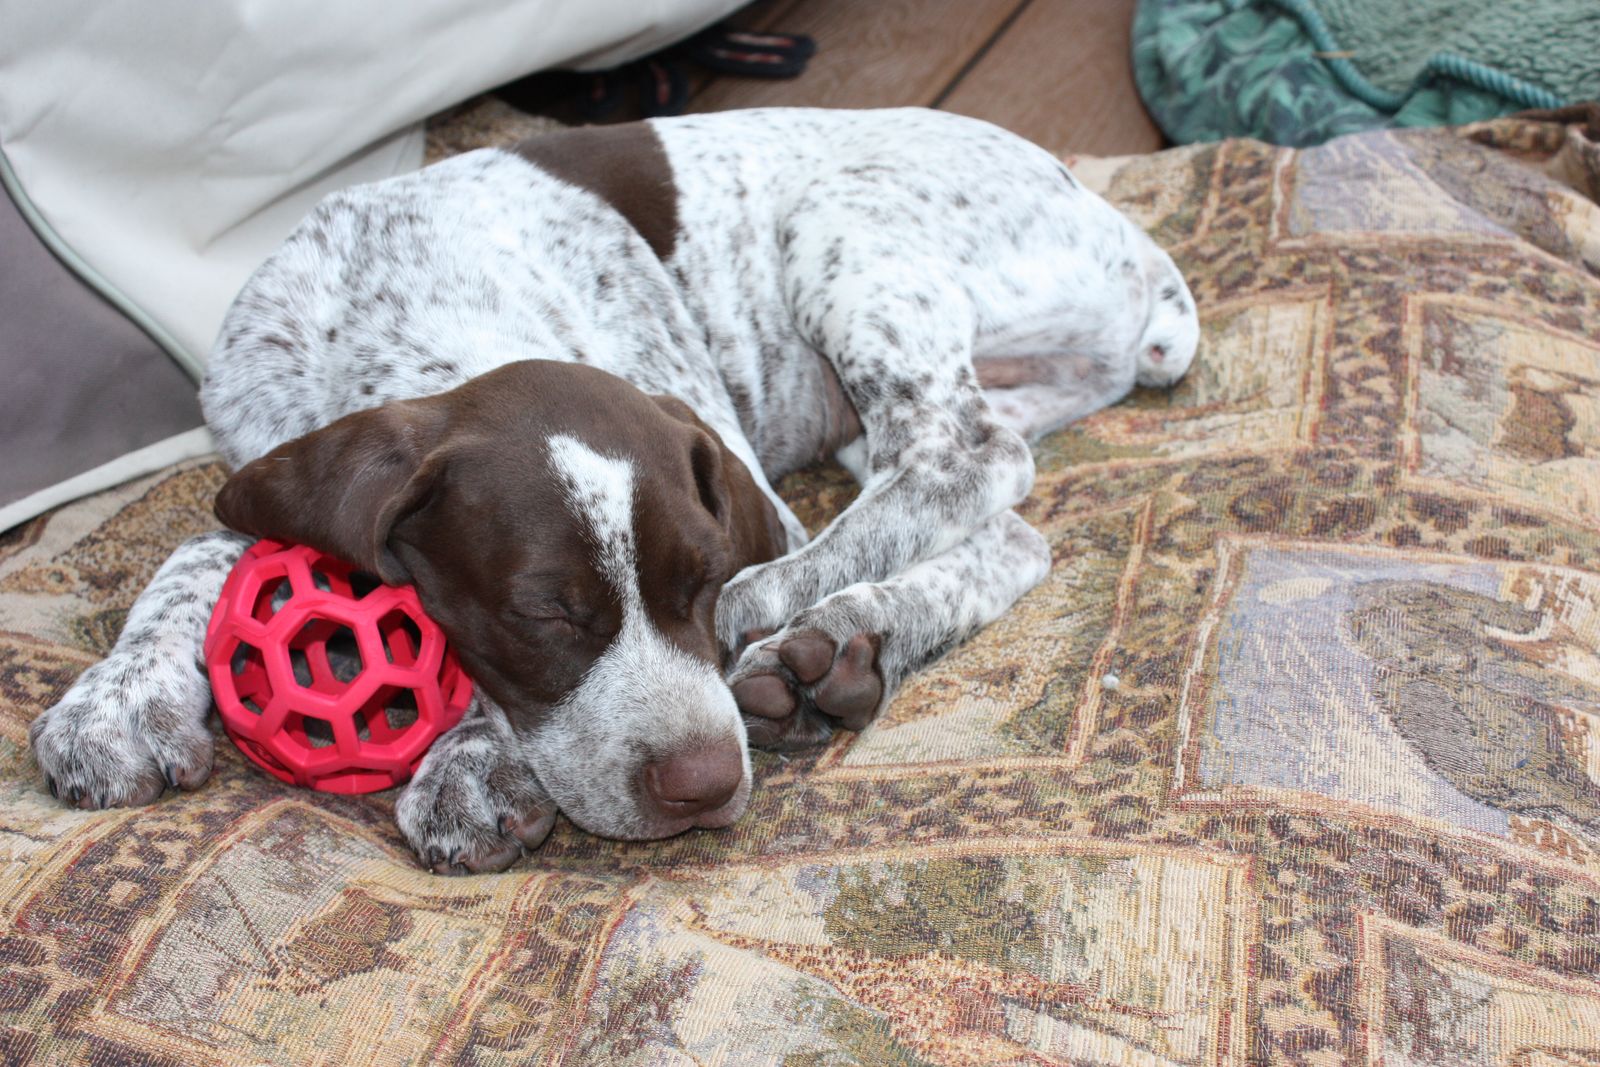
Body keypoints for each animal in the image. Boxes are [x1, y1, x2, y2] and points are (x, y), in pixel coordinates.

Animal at [30, 108, 1198, 873]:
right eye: (542, 614)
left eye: (696, 579)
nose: (708, 784)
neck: (387, 312)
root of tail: (1139, 250)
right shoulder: (262, 447)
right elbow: (198, 552)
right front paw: (117, 695)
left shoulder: (749, 491)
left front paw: (474, 760)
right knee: (1006, 528)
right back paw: (842, 643)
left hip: (843, 217)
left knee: (968, 456)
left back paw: (799, 619)